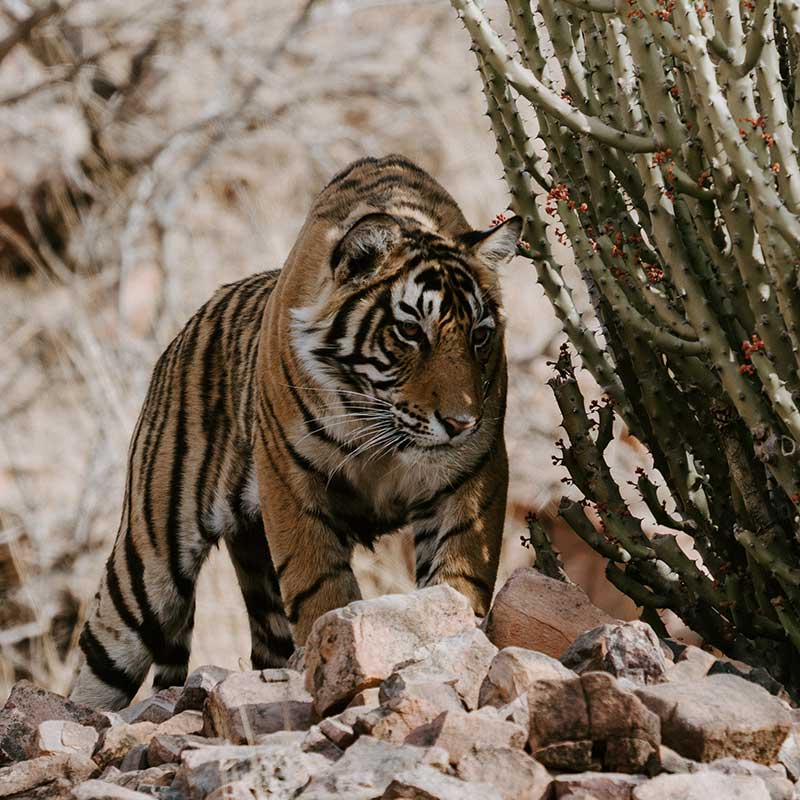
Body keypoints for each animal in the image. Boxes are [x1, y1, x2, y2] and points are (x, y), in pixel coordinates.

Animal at [67, 155, 520, 708]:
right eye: (411, 330)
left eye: (480, 335)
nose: (460, 424)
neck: (381, 425)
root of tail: (180, 334)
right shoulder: (291, 481)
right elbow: (321, 591)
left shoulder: (473, 477)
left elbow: (457, 581)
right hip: (148, 562)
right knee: (98, 665)